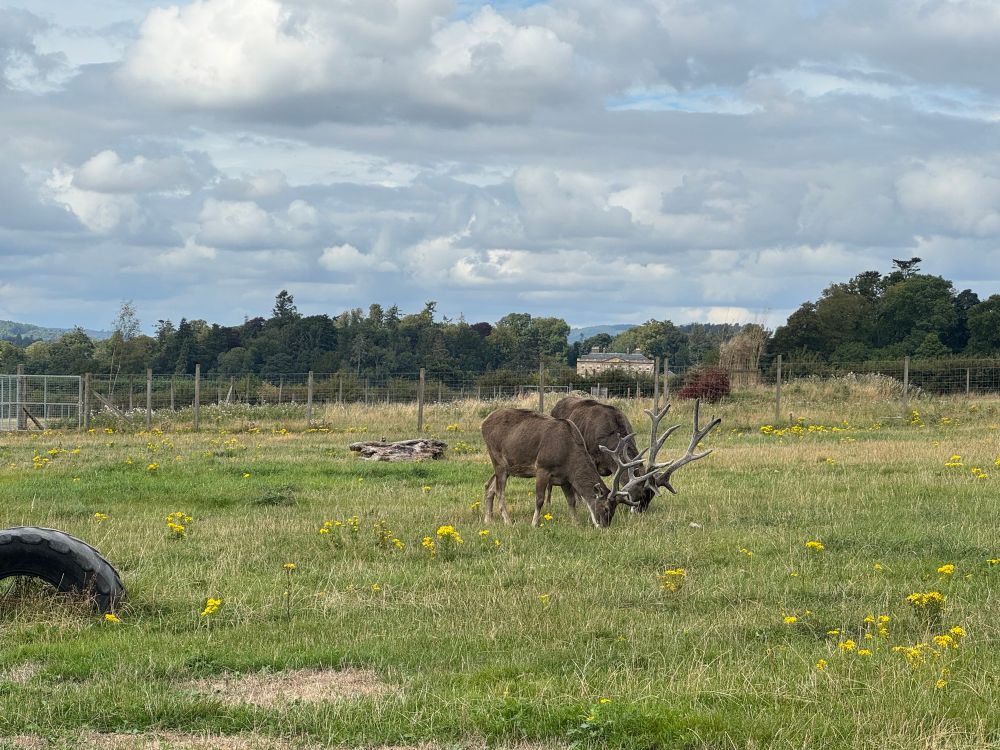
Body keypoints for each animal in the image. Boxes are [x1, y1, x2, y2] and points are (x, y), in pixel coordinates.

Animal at [480, 408, 660, 528]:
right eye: (606, 507)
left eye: (615, 509)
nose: (604, 526)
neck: (568, 456)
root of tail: (484, 423)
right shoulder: (542, 467)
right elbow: (539, 499)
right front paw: (534, 524)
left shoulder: (565, 478)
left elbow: (572, 501)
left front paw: (576, 523)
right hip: (497, 458)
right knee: (500, 491)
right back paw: (507, 520)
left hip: (505, 466)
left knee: (489, 485)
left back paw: (488, 519)